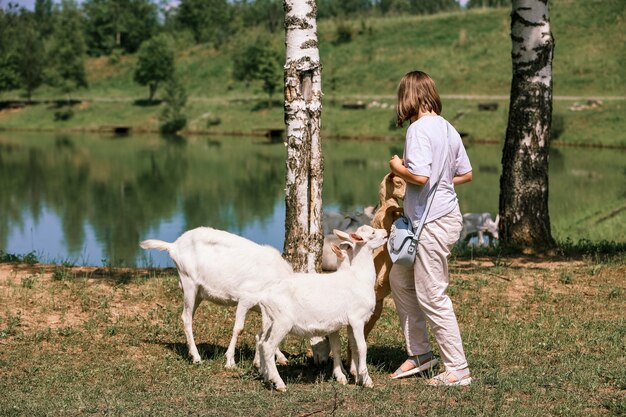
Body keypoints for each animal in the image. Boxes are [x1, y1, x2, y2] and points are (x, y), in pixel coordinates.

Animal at [139, 226, 292, 366]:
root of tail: (174, 245)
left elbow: (266, 331)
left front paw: (279, 358)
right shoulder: (246, 297)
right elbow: (239, 328)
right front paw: (230, 361)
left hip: (199, 292)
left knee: (188, 316)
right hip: (188, 281)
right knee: (186, 318)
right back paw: (196, 357)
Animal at [251, 224, 382, 390]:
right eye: (373, 232)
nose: (386, 232)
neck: (359, 277)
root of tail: (264, 295)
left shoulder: (344, 323)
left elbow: (349, 346)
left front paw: (353, 376)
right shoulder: (357, 318)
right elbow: (362, 347)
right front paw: (366, 381)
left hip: (270, 320)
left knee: (262, 342)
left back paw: (267, 378)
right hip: (282, 321)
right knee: (268, 347)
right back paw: (279, 384)